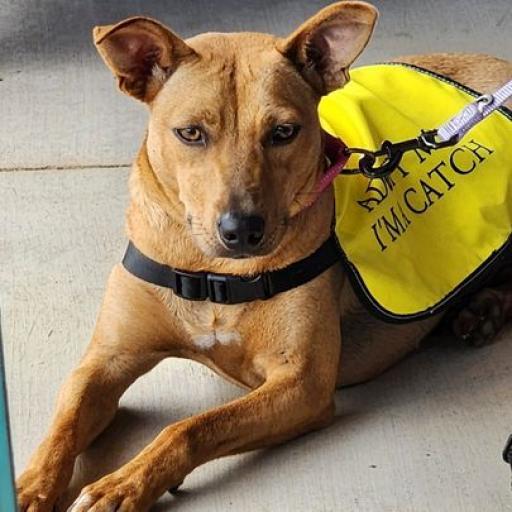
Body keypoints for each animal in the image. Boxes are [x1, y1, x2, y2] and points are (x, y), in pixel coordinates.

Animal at [15, 2, 512, 510]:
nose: (241, 231)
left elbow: (190, 427)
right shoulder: (105, 360)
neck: (212, 273)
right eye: (190, 133)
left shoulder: (301, 383)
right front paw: (31, 485)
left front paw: (125, 482)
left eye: (284, 132)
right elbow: (65, 422)